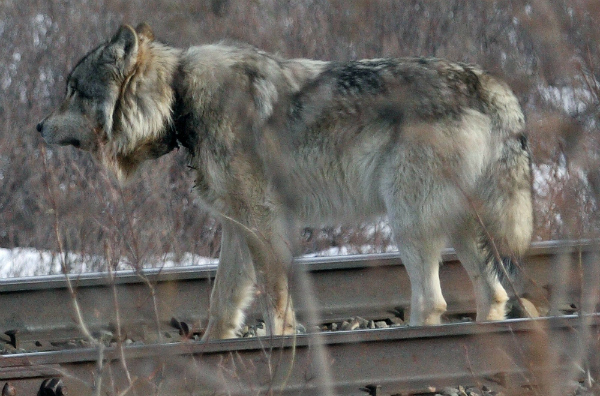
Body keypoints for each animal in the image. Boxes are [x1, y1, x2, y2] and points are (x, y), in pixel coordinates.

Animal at [38, 23, 536, 338]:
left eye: (73, 90)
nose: (39, 126)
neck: (178, 98)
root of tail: (491, 84)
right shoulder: (235, 224)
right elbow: (222, 302)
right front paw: (212, 352)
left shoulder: (262, 220)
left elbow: (275, 298)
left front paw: (279, 344)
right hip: (461, 229)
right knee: (492, 294)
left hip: (409, 223)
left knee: (434, 302)